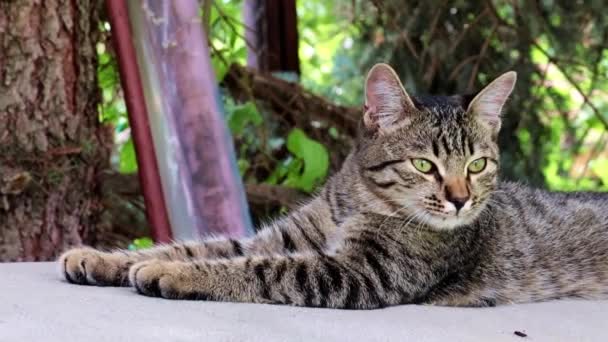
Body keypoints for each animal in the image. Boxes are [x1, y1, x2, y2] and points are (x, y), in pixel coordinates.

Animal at [59, 62, 608, 308]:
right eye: (424, 165)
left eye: (476, 165)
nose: (460, 200)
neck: (356, 201)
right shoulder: (282, 238)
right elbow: (199, 246)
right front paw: (100, 258)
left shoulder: (359, 273)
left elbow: (256, 270)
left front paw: (173, 275)